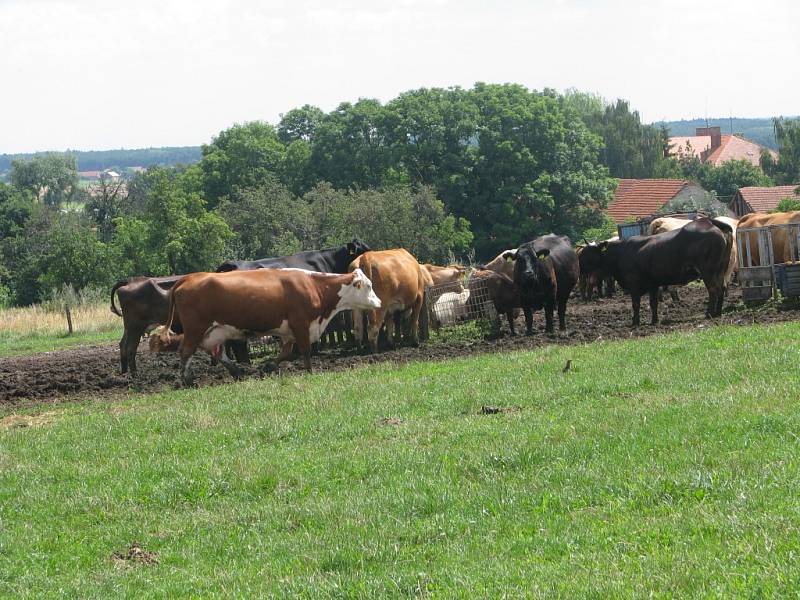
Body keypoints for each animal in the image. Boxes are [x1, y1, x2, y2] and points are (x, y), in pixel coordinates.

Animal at [158, 268, 382, 384]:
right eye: (369, 286)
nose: (379, 302)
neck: (314, 285)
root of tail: (188, 278)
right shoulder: (301, 324)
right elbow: (305, 350)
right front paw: (310, 371)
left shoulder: (289, 331)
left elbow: (285, 352)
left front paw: (267, 367)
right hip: (195, 328)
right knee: (185, 351)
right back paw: (186, 380)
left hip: (214, 331)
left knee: (216, 352)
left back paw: (237, 372)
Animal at [580, 217, 736, 326]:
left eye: (587, 252)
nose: (579, 266)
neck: (622, 252)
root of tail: (709, 221)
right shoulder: (653, 284)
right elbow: (653, 303)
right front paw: (654, 320)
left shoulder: (633, 283)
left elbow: (635, 304)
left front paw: (635, 322)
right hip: (721, 270)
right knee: (722, 288)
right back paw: (718, 312)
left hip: (708, 271)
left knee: (713, 290)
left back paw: (709, 313)